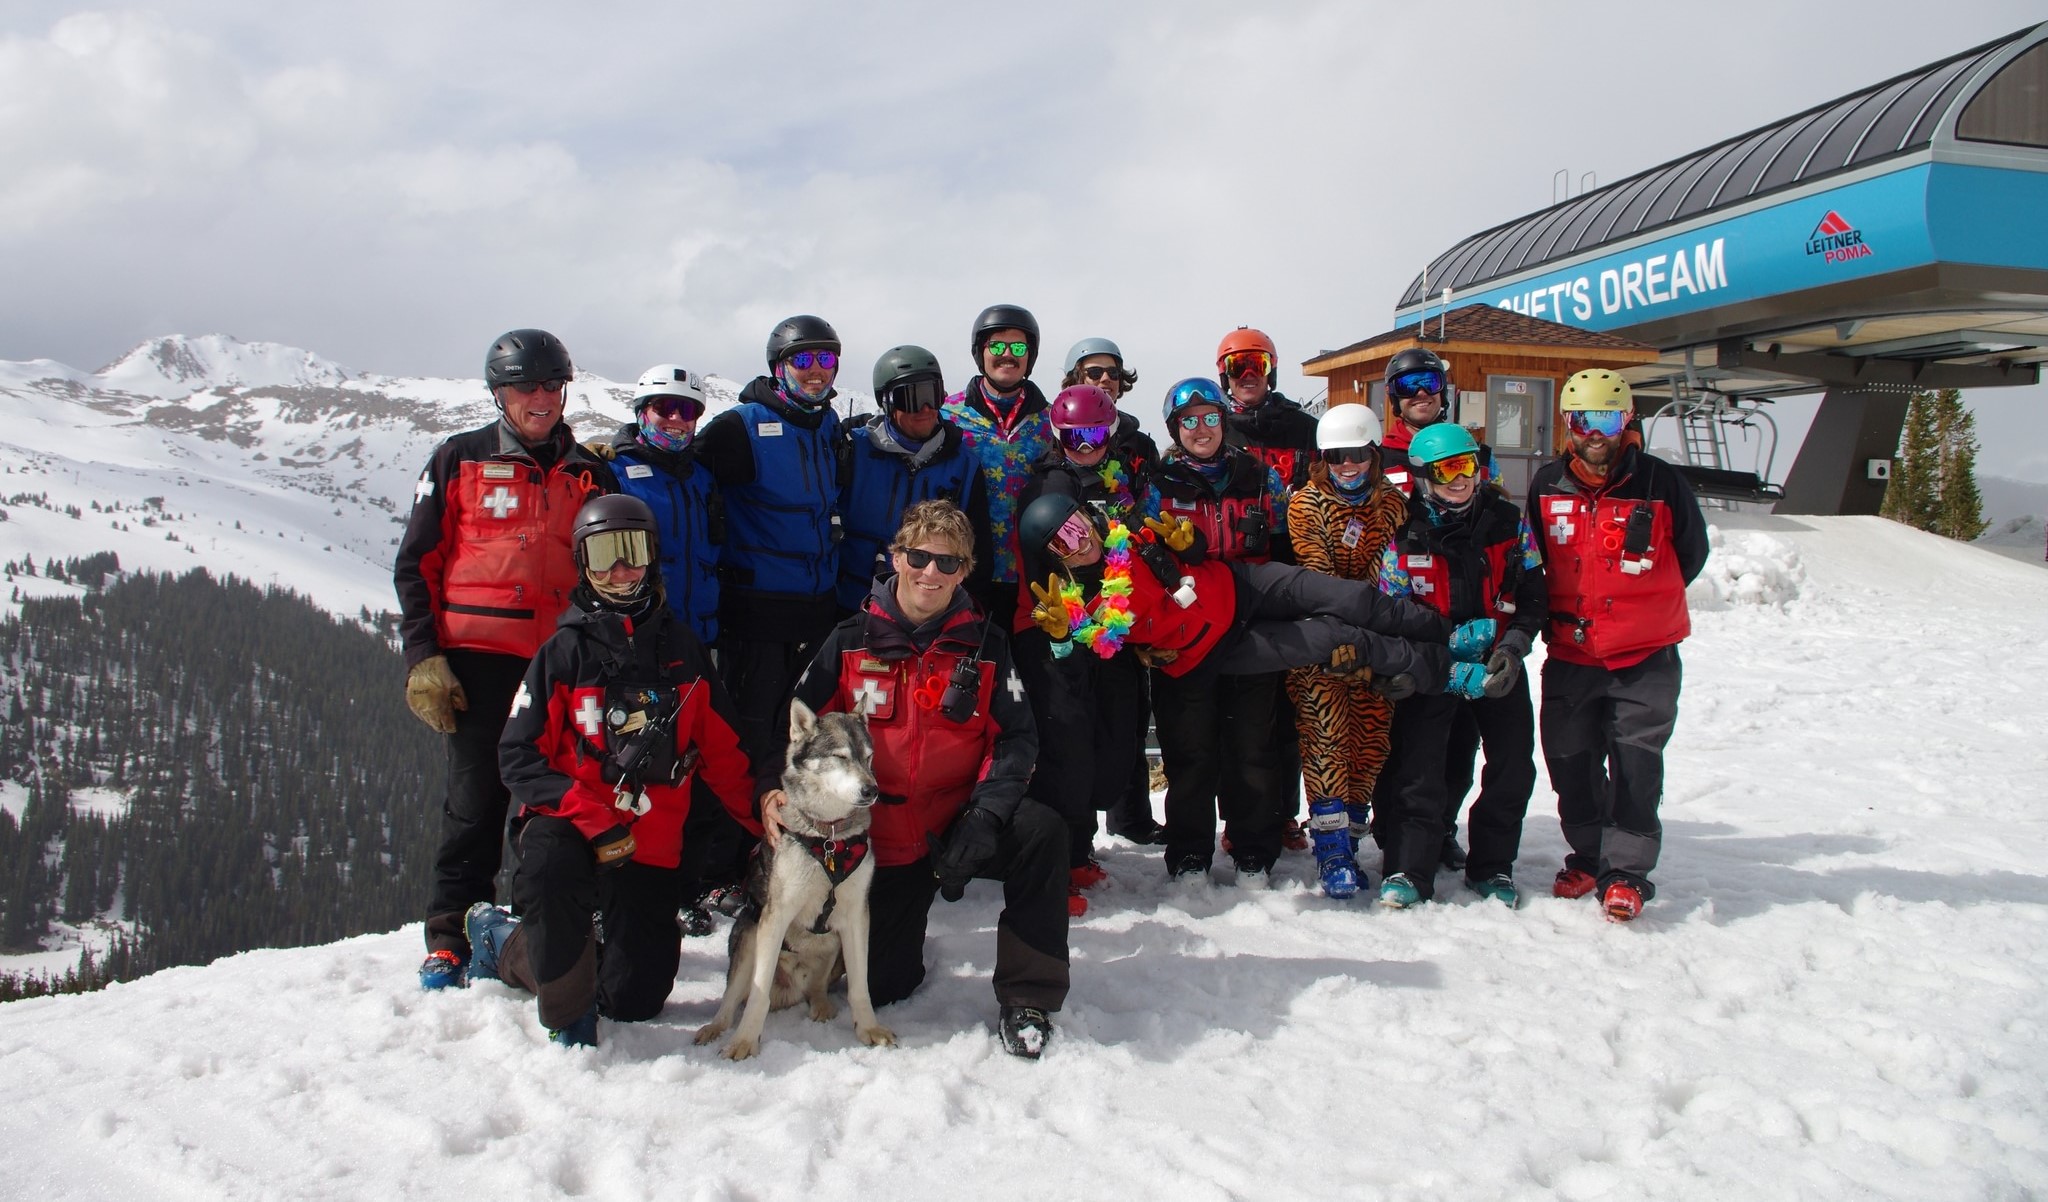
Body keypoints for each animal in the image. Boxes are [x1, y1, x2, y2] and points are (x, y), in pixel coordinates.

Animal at [696, 696, 897, 1064]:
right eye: (841, 757)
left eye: (868, 757)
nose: (872, 790)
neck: (829, 838)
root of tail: (790, 991)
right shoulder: (775, 918)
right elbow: (756, 996)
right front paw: (745, 1041)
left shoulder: (856, 917)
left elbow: (860, 987)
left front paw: (869, 1029)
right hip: (749, 935)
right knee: (731, 1001)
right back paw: (715, 1028)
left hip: (833, 948)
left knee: (816, 989)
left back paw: (821, 1006)